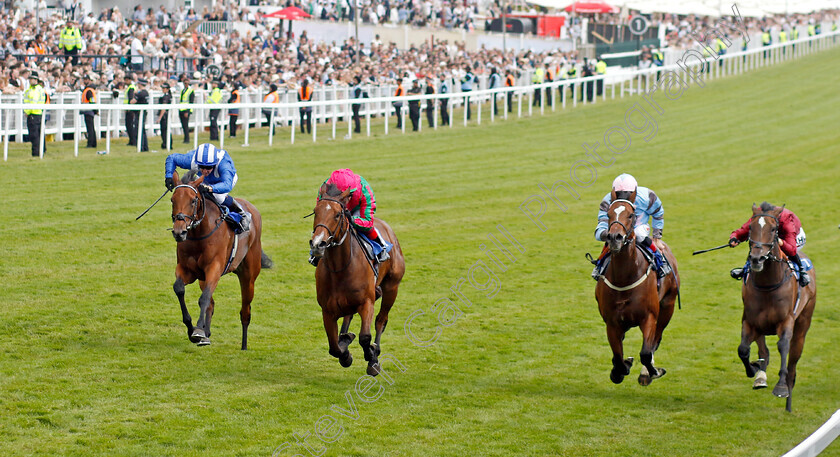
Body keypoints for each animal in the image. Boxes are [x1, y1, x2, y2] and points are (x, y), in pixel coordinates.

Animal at [171, 169, 272, 348]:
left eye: (193, 200)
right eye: (172, 200)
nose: (179, 232)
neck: (199, 234)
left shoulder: (215, 269)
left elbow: (203, 298)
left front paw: (198, 331)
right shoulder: (187, 270)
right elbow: (179, 289)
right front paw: (192, 330)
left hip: (248, 276)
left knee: (245, 311)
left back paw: (243, 346)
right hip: (203, 277)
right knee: (211, 304)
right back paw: (207, 334)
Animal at [310, 182, 406, 374]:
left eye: (337, 214)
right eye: (316, 211)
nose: (318, 244)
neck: (339, 268)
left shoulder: (366, 302)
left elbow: (365, 337)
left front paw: (372, 357)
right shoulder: (327, 310)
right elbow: (333, 346)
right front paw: (345, 353)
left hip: (392, 287)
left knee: (381, 321)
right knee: (347, 319)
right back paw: (345, 337)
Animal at [592, 189, 680, 384]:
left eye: (631, 215)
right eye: (609, 214)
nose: (614, 237)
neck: (624, 278)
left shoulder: (649, 317)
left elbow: (646, 352)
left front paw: (652, 372)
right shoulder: (612, 323)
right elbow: (617, 357)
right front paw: (620, 369)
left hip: (668, 306)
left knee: (656, 339)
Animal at [740, 203, 816, 410]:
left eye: (774, 229)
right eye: (750, 228)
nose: (756, 258)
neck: (768, 284)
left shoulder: (786, 320)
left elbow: (783, 346)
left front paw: (781, 387)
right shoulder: (750, 321)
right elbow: (744, 349)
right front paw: (754, 370)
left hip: (803, 324)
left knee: (793, 360)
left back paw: (789, 396)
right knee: (763, 350)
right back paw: (760, 375)